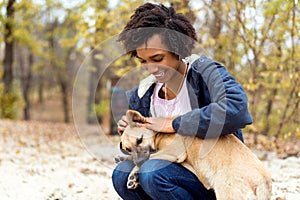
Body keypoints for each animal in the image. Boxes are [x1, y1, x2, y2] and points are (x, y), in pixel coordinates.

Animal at [117, 110, 272, 199]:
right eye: (128, 148)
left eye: (140, 140)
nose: (137, 162)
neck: (158, 133)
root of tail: (264, 182)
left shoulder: (174, 151)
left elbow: (148, 158)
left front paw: (133, 172)